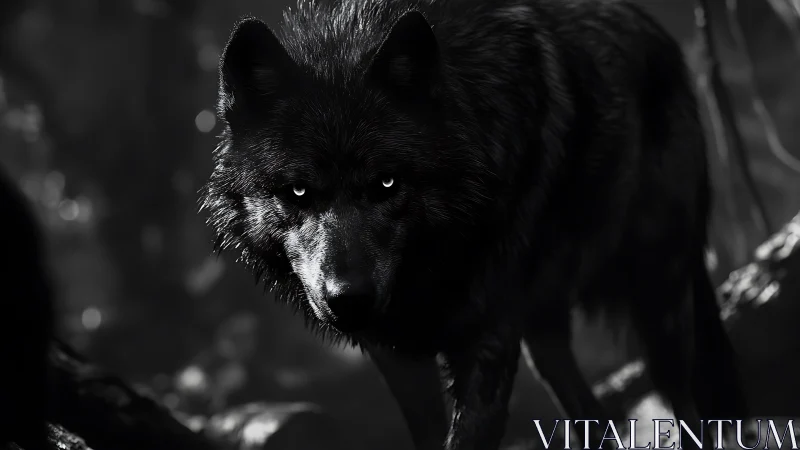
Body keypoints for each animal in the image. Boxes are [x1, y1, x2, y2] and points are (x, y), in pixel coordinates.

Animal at [200, 0, 749, 448]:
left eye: (387, 183)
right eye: (297, 191)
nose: (349, 298)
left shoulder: (487, 343)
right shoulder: (397, 356)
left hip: (659, 304)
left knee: (688, 407)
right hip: (545, 337)